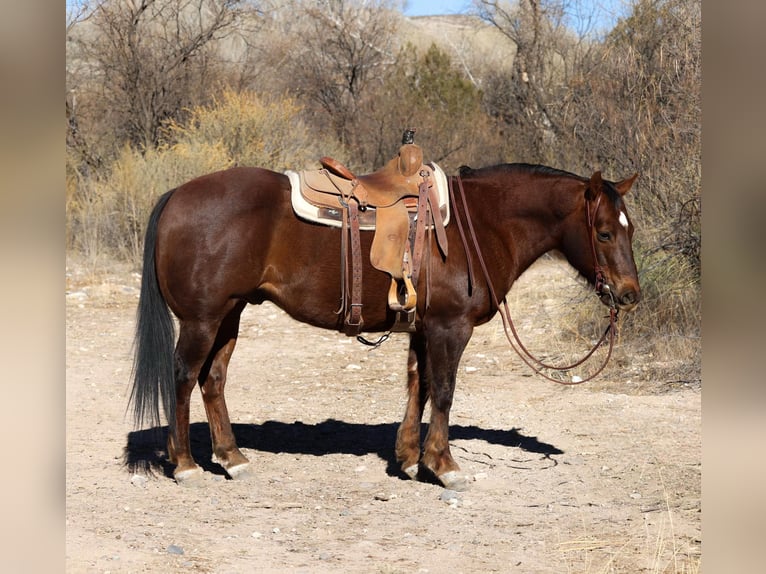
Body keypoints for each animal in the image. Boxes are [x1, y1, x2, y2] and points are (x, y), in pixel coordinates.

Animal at [130, 162, 641, 490]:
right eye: (603, 232)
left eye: (629, 229)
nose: (630, 294)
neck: (480, 225)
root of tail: (176, 195)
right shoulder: (451, 329)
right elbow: (445, 392)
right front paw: (445, 466)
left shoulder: (424, 329)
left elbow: (420, 387)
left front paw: (411, 460)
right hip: (202, 320)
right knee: (183, 378)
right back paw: (186, 465)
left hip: (230, 314)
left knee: (213, 380)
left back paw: (232, 458)